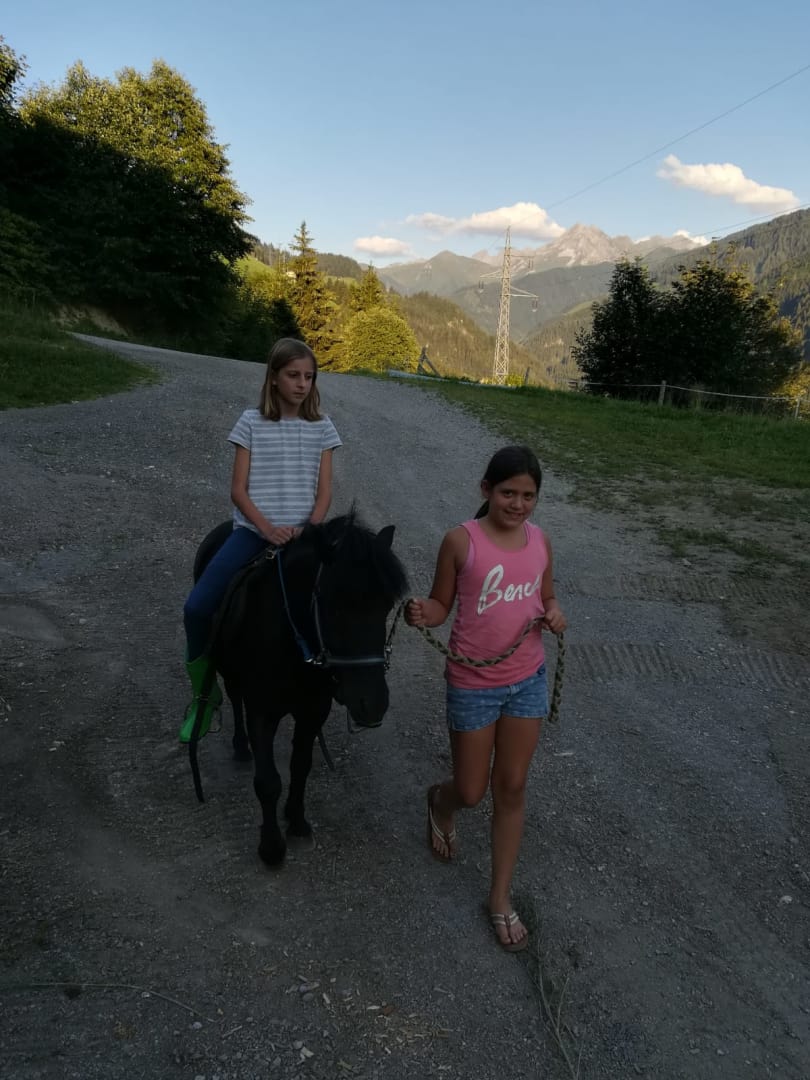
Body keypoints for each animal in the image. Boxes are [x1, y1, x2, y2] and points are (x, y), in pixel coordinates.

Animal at [191, 511, 408, 866]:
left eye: (387, 606)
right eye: (333, 605)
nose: (372, 704)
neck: (294, 644)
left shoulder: (313, 711)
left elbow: (300, 766)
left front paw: (296, 821)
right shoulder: (262, 712)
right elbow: (268, 782)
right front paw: (271, 847)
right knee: (235, 697)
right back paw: (240, 746)